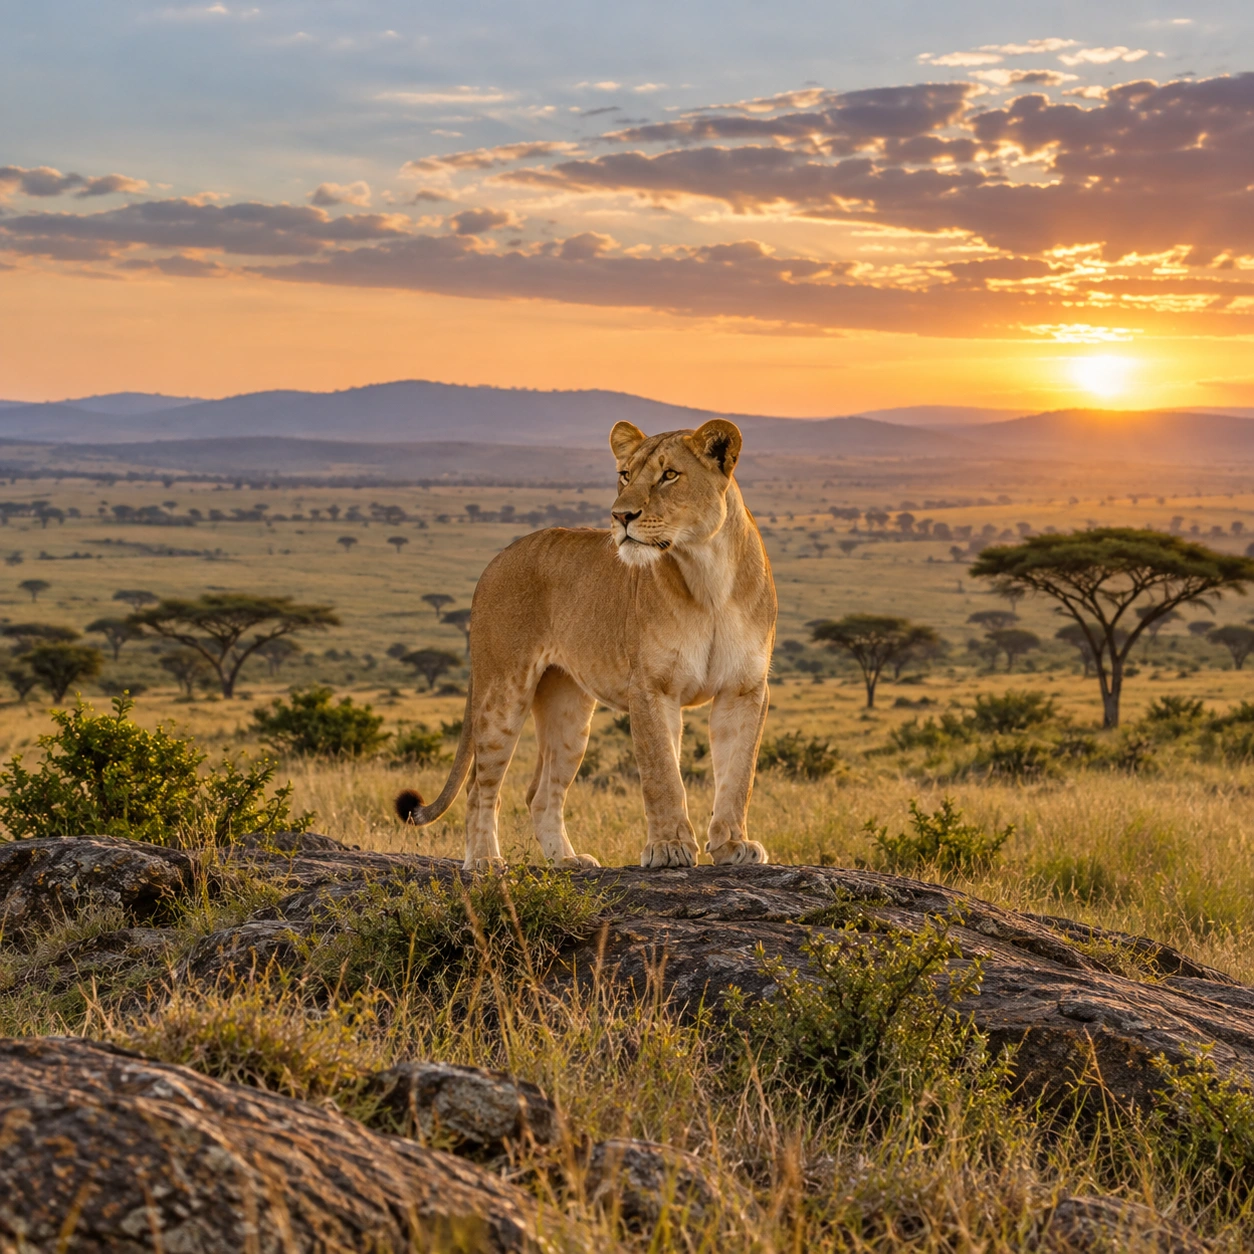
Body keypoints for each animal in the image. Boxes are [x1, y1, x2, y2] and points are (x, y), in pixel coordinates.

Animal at [395, 417, 778, 870]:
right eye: (625, 475)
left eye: (669, 475)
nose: (621, 516)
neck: (708, 575)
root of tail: (498, 557)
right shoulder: (651, 687)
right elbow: (663, 774)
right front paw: (668, 847)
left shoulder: (744, 689)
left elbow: (739, 775)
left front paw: (734, 845)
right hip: (502, 694)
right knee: (480, 787)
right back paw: (486, 862)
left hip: (569, 711)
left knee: (540, 794)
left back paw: (567, 861)